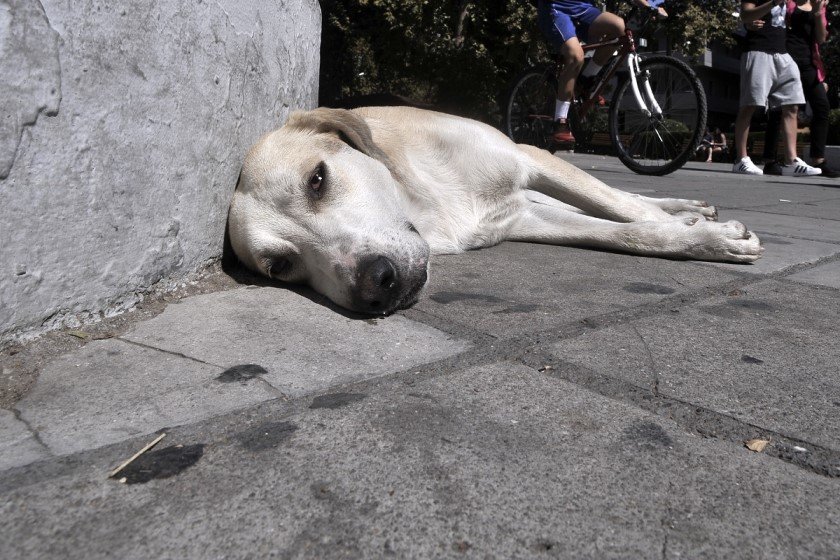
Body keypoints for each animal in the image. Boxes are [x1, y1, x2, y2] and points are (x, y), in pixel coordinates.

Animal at [228, 106, 760, 316]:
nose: (376, 285)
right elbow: (623, 231)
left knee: (619, 194)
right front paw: (694, 236)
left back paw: (686, 206)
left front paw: (708, 235)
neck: (425, 204)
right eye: (280, 267)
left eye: (316, 179)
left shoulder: (530, 157)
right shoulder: (526, 220)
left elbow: (621, 207)